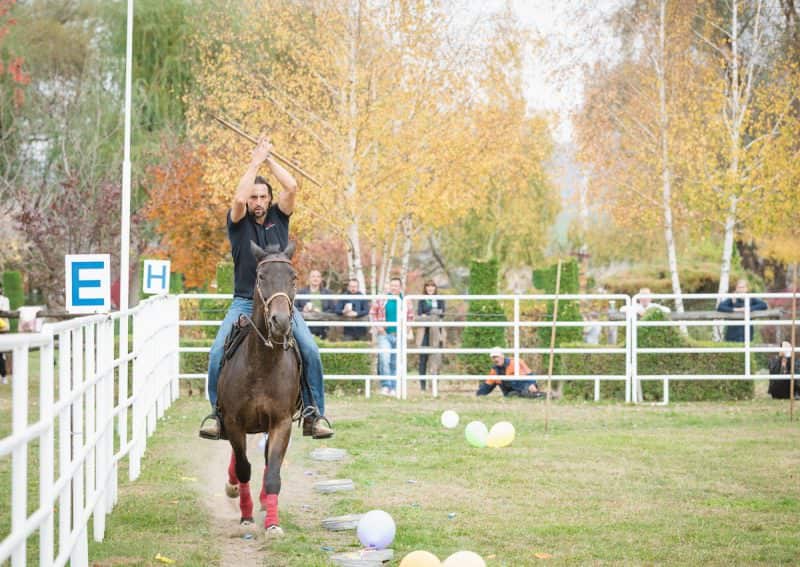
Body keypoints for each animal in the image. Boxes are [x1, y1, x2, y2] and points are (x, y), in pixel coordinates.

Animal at [217, 241, 302, 536]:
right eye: (262, 277)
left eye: (293, 278)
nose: (280, 321)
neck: (263, 364)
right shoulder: (233, 421)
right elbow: (244, 468)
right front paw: (246, 515)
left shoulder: (281, 422)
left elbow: (273, 471)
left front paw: (273, 523)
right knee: (238, 459)